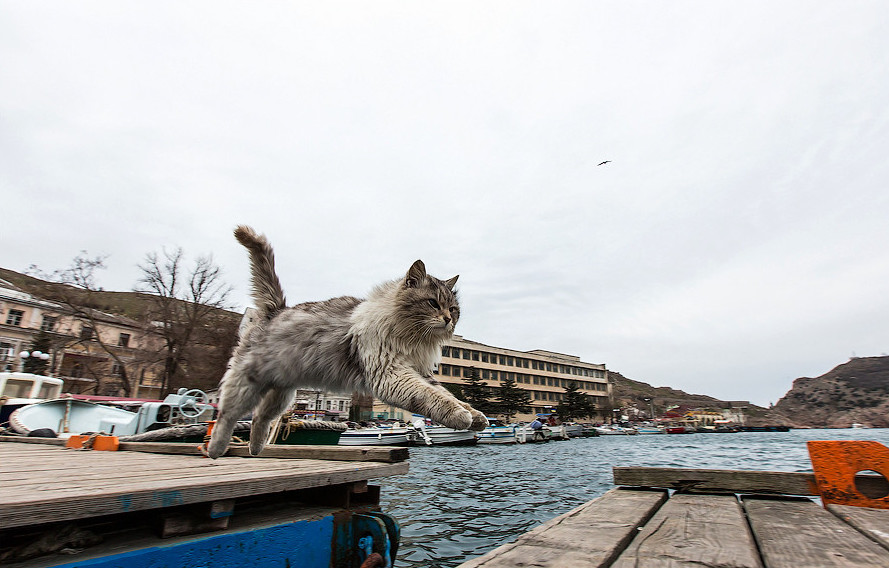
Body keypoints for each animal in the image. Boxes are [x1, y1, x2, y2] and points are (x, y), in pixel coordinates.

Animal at [203, 224, 486, 460]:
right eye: (433, 303)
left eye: (454, 309)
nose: (448, 319)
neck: (411, 336)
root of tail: (276, 310)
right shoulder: (392, 374)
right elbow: (433, 398)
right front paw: (461, 416)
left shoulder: (420, 371)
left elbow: (447, 394)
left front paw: (475, 416)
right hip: (246, 385)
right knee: (226, 416)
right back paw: (216, 449)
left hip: (281, 394)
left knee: (260, 418)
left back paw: (255, 448)